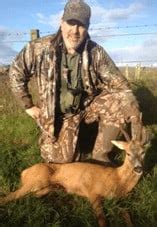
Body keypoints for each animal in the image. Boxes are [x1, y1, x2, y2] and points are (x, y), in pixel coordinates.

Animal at [0, 125, 148, 226]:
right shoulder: (92, 192)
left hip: (46, 187)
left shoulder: (121, 200)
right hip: (38, 179)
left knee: (34, 194)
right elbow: (102, 220)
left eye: (143, 152)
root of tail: (24, 172)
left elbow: (128, 217)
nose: (138, 168)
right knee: (8, 197)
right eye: (128, 153)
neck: (117, 180)